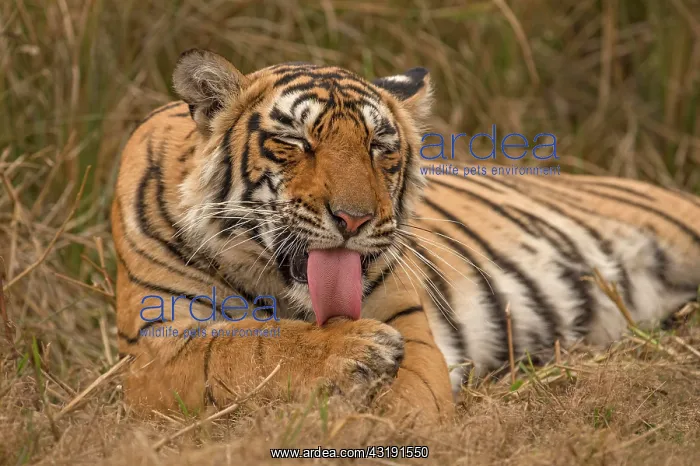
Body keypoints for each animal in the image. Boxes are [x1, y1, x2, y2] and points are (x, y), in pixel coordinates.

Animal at [111, 48, 700, 419]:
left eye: (379, 147)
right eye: (296, 142)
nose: (353, 220)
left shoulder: (412, 329)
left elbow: (409, 401)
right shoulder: (159, 348)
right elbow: (243, 348)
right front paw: (355, 351)